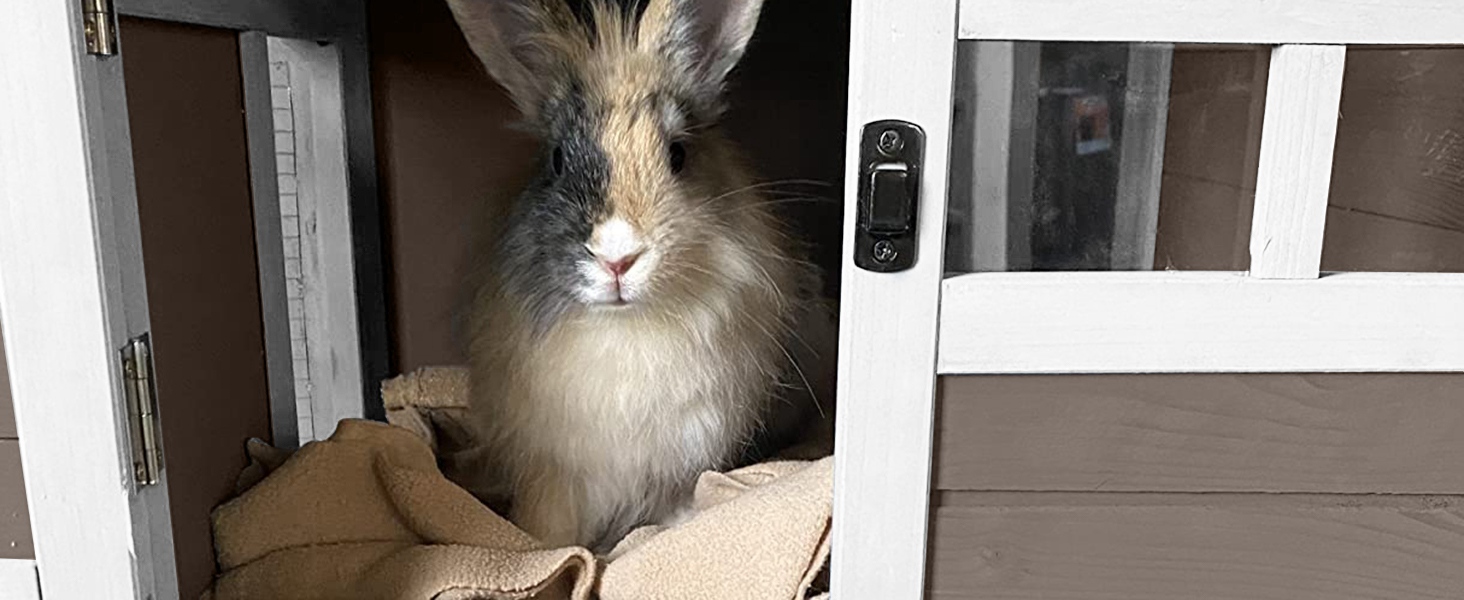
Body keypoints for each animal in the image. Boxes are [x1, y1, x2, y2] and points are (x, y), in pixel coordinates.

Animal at [446, 0, 837, 553]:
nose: (618, 257)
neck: (626, 325)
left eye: (678, 153)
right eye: (557, 160)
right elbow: (552, 527)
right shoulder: (555, 472)